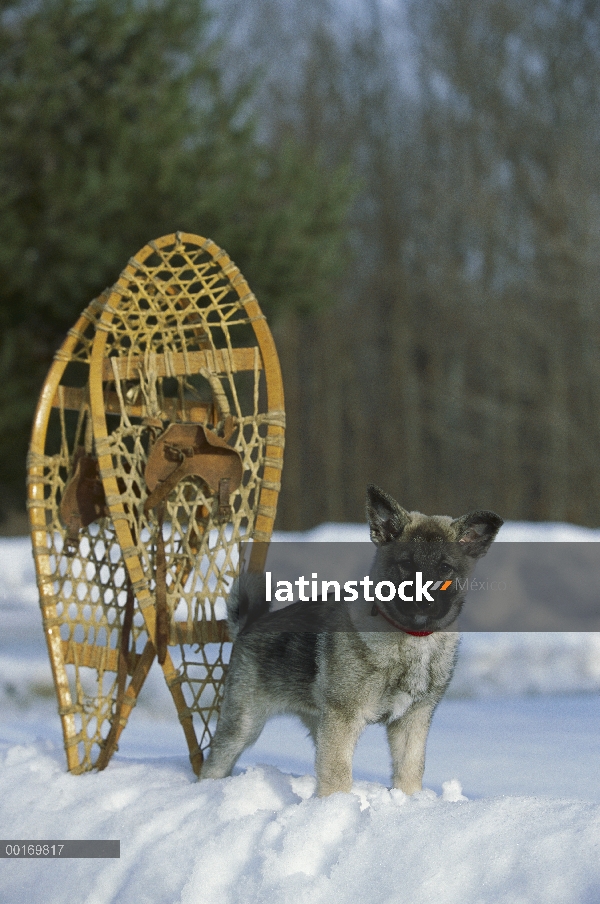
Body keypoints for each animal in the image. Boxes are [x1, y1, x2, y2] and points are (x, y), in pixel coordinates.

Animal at [202, 484, 502, 796]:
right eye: (406, 564)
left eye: (445, 569)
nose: (422, 600)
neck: (411, 638)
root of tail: (250, 624)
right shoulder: (343, 717)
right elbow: (337, 774)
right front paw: (337, 804)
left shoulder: (412, 720)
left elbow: (409, 770)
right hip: (244, 724)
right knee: (214, 764)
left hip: (318, 722)